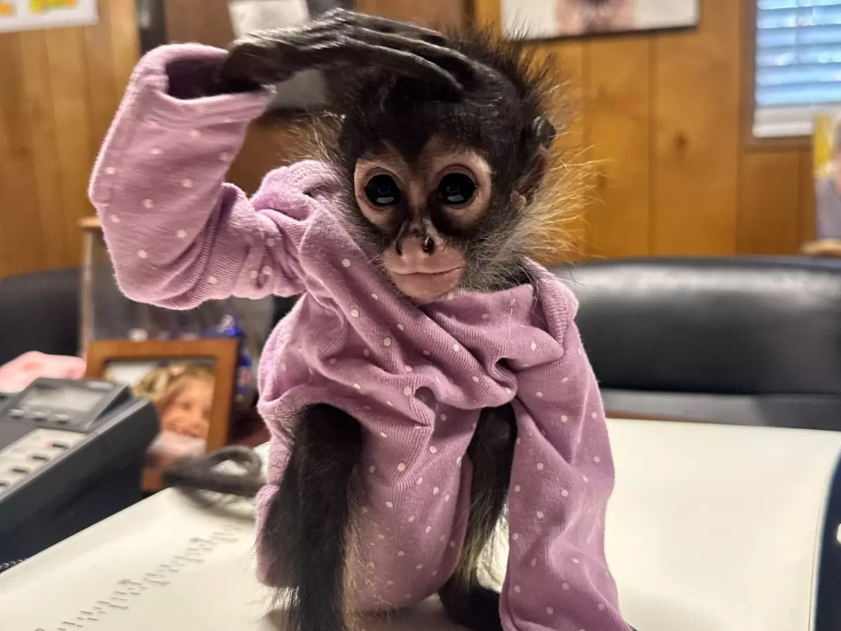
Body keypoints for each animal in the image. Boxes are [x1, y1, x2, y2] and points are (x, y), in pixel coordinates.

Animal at [92, 8, 632, 631]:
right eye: (382, 190)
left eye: (456, 189)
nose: (416, 242)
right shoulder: (305, 242)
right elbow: (176, 264)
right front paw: (291, 49)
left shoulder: (554, 324)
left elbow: (569, 473)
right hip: (280, 543)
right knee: (328, 427)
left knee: (498, 427)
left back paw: (458, 597)